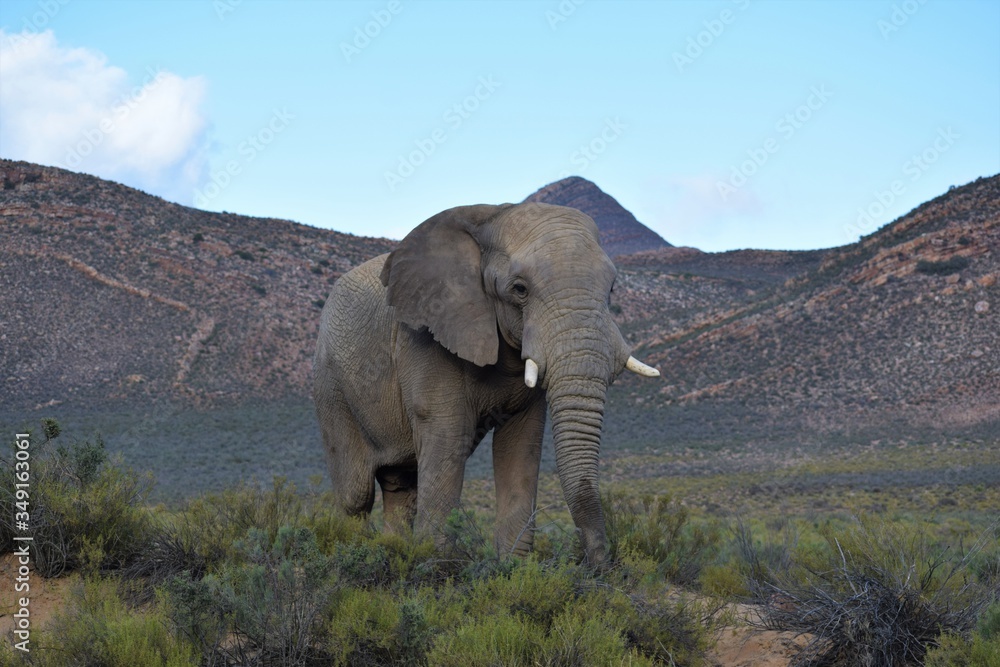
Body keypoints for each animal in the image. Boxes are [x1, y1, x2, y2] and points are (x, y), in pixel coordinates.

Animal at [313, 202, 659, 565]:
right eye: (519, 289)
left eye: (612, 289)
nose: (597, 565)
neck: (492, 216)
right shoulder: (426, 334)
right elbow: (448, 436)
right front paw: (438, 567)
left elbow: (521, 443)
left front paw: (514, 568)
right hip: (330, 385)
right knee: (356, 493)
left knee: (401, 487)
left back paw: (394, 552)